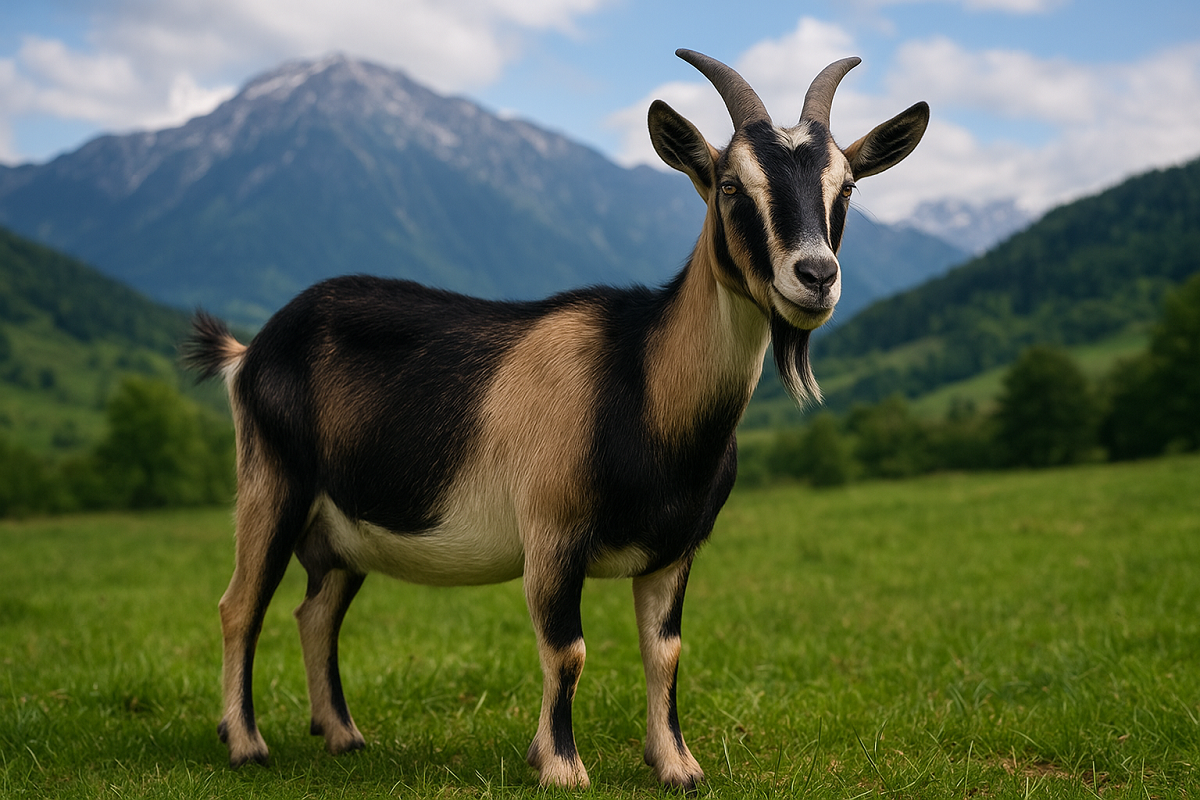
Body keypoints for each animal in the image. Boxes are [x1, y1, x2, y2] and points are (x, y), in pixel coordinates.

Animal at [184, 49, 928, 789]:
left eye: (847, 187)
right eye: (729, 185)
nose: (816, 276)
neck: (640, 383)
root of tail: (250, 352)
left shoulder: (675, 548)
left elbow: (666, 652)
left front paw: (676, 765)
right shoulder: (551, 531)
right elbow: (566, 649)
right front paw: (561, 766)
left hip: (342, 528)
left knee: (316, 612)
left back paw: (341, 734)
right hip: (272, 483)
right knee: (239, 606)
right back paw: (245, 743)